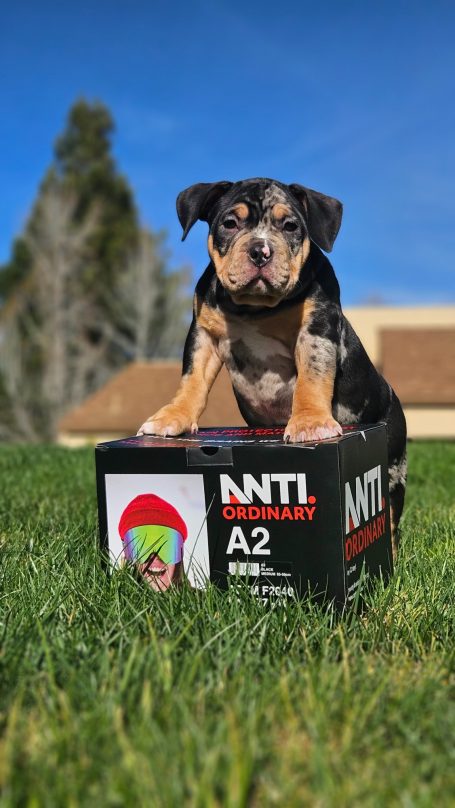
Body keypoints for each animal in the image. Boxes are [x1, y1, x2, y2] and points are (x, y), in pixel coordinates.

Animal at [137, 178, 408, 556]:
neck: (255, 308)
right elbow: (192, 380)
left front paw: (310, 423)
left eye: (290, 226)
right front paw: (171, 418)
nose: (261, 251)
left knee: (391, 516)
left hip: (394, 465)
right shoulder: (202, 333)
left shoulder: (316, 328)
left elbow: (312, 378)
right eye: (229, 223)